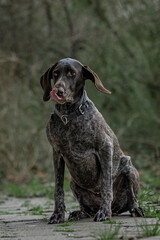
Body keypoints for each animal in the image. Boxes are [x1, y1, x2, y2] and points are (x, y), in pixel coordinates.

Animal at [40, 58, 145, 223]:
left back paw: (134, 209)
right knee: (86, 209)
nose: (58, 91)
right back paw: (80, 213)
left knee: (132, 198)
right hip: (74, 183)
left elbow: (106, 186)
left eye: (72, 73)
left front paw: (104, 212)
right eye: (55, 74)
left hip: (129, 168)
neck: (68, 116)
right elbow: (58, 189)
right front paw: (57, 214)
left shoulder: (105, 147)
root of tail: (116, 210)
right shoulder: (57, 153)